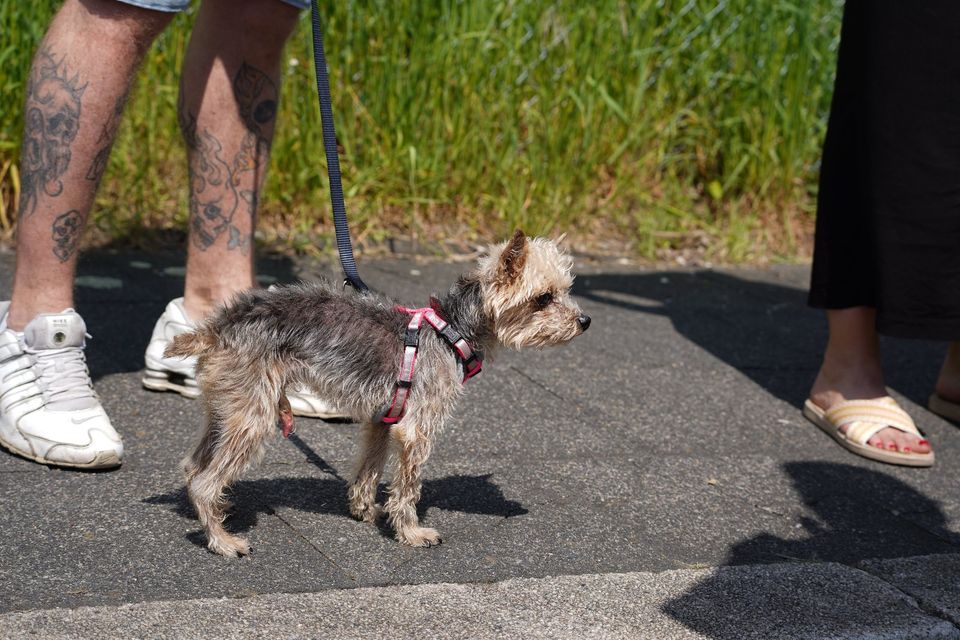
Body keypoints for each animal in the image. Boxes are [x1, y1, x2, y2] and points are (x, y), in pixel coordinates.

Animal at [171, 231, 592, 556]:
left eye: (566, 291)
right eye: (543, 298)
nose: (585, 321)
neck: (450, 330)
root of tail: (218, 326)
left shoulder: (382, 419)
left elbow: (369, 469)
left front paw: (366, 511)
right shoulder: (415, 430)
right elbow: (408, 487)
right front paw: (410, 531)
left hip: (229, 406)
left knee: (194, 467)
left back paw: (213, 512)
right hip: (254, 417)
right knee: (206, 481)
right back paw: (222, 539)